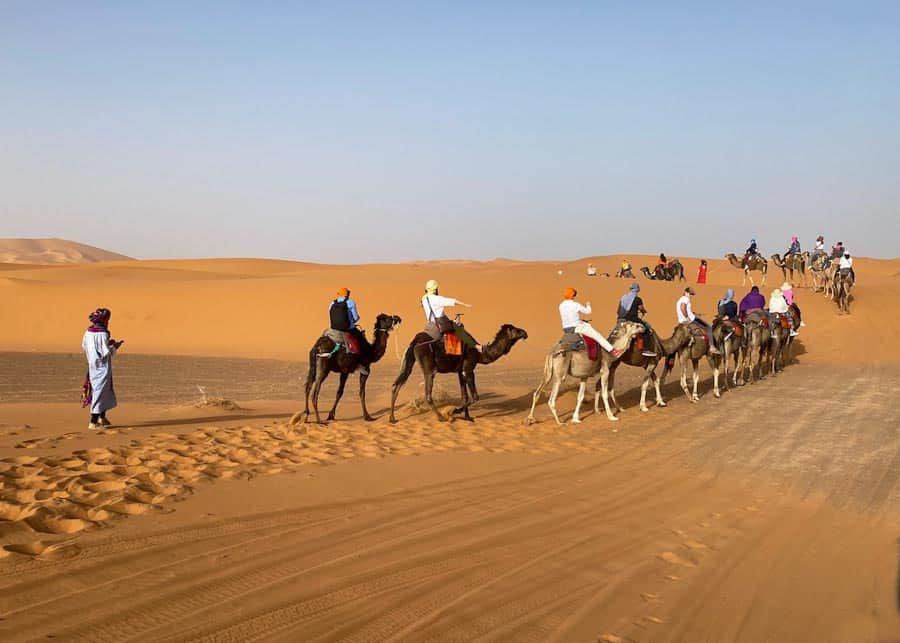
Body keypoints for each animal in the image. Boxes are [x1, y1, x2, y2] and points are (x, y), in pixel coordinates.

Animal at [386, 324, 528, 426]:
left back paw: (392, 418)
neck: (480, 354)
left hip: (411, 361)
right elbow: (475, 396)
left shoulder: (460, 372)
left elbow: (464, 396)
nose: (525, 333)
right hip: (429, 368)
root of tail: (414, 342)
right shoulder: (469, 369)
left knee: (396, 385)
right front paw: (454, 411)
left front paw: (468, 418)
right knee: (428, 394)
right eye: (515, 330)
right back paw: (441, 417)